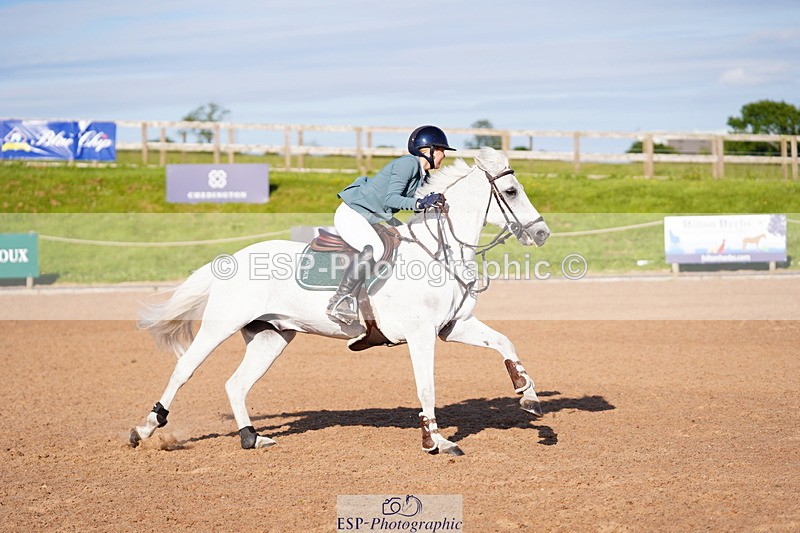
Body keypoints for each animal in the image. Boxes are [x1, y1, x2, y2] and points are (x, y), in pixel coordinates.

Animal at [130, 147, 550, 456]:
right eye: (511, 192)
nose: (542, 233)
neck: (438, 252)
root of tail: (231, 258)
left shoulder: (452, 327)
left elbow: (505, 343)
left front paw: (528, 397)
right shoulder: (421, 335)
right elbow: (427, 387)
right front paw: (437, 441)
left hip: (271, 336)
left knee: (236, 384)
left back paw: (252, 437)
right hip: (222, 325)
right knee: (184, 369)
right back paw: (146, 428)